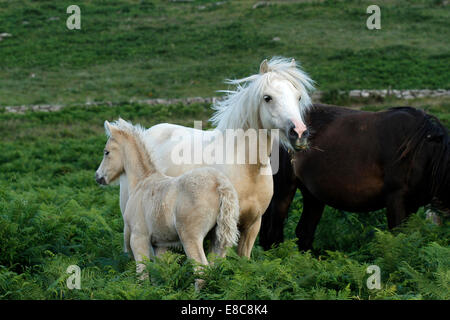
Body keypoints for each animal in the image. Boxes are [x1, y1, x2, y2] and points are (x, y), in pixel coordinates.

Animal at [95, 119, 241, 284]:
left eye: (106, 152)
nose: (98, 177)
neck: (142, 182)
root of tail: (219, 183)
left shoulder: (139, 238)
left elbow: (142, 274)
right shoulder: (160, 244)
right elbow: (161, 273)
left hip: (190, 237)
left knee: (201, 272)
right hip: (218, 239)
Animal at [121, 57, 314, 258]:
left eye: (298, 97)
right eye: (267, 98)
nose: (299, 133)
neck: (248, 169)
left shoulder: (252, 226)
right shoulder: (223, 229)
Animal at [260, 104, 450, 251]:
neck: (424, 152)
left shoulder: (412, 204)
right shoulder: (396, 199)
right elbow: (397, 238)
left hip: (312, 196)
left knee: (304, 233)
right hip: (283, 191)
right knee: (273, 234)